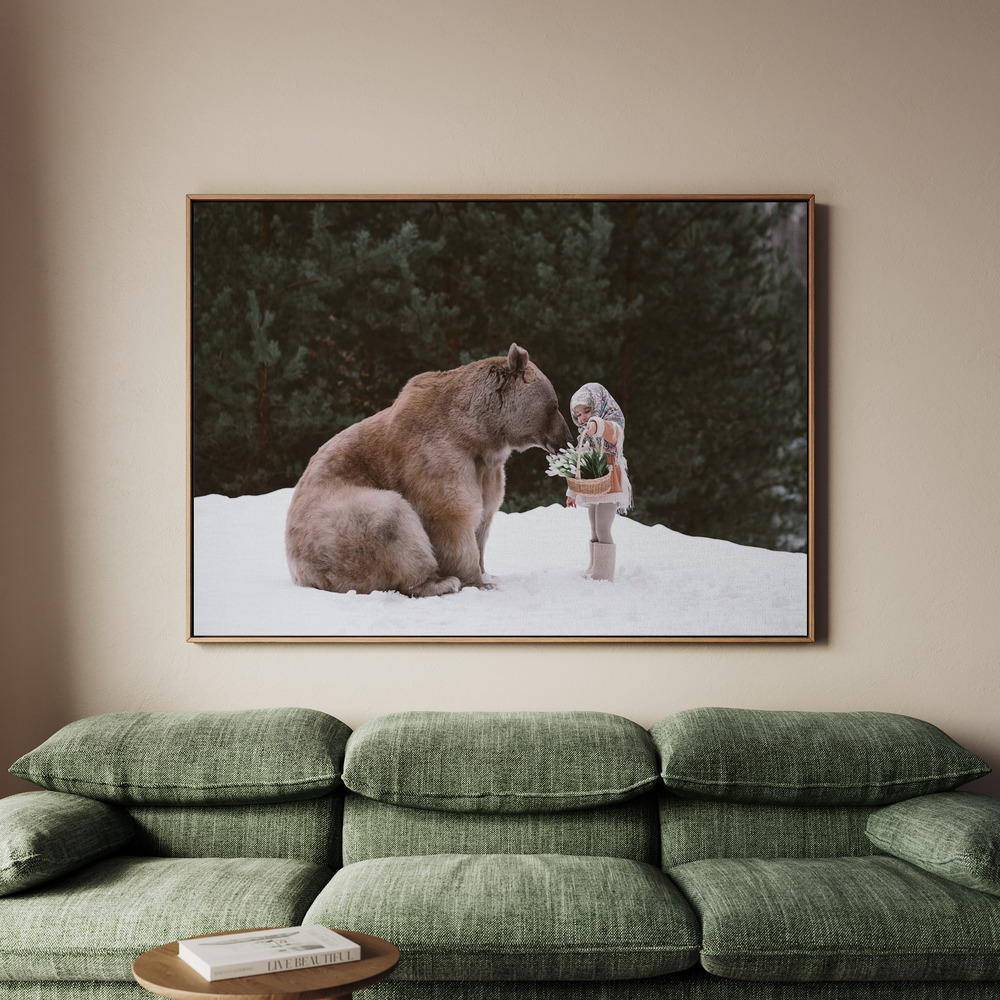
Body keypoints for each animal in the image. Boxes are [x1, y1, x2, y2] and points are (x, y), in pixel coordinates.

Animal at [285, 343, 572, 597]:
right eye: (555, 404)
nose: (566, 439)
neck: (478, 434)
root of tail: (301, 575)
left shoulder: (488, 471)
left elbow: (485, 516)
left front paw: (487, 572)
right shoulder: (438, 456)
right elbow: (451, 514)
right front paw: (478, 582)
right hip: (334, 526)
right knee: (390, 520)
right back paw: (439, 582)